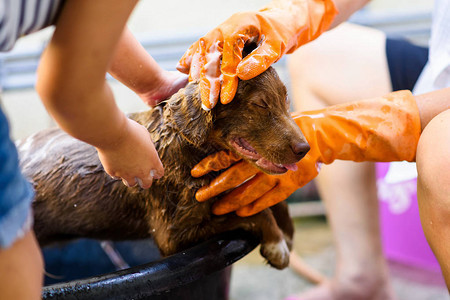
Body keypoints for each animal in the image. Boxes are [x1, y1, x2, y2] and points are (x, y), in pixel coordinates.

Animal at [15, 67, 308, 270]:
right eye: (260, 104)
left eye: (285, 100)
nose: (305, 148)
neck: (189, 149)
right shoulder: (173, 234)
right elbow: (256, 214)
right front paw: (277, 245)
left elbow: (273, 200)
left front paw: (288, 233)